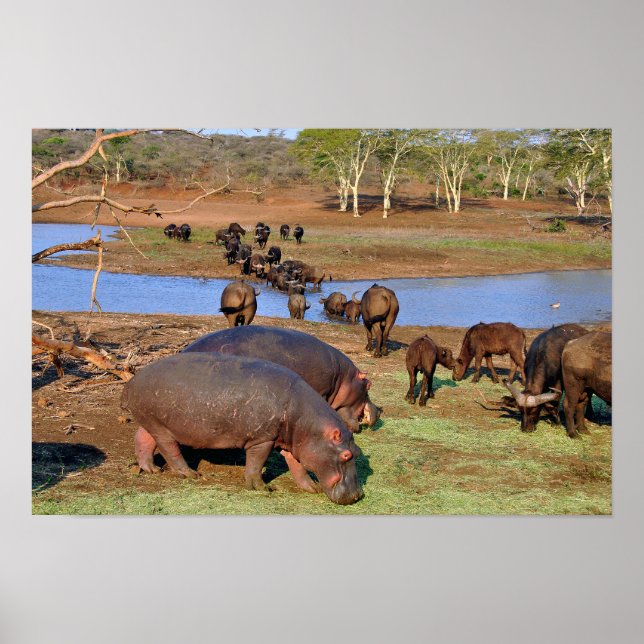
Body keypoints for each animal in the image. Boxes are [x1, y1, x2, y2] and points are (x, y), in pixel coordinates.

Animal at [121, 353, 364, 505]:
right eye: (346, 454)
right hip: (162, 428)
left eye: (358, 451)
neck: (308, 423)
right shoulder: (262, 439)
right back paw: (191, 474)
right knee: (170, 450)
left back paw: (151, 470)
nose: (358, 496)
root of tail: (131, 381)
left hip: (152, 422)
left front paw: (312, 488)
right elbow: (256, 465)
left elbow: (298, 467)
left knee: (142, 438)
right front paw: (263, 488)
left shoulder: (293, 443)